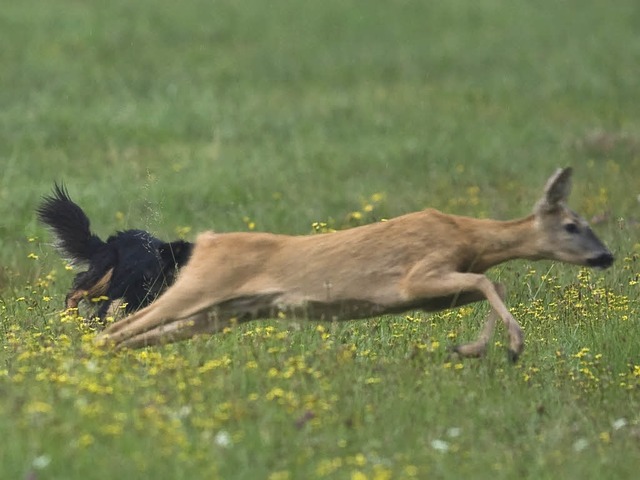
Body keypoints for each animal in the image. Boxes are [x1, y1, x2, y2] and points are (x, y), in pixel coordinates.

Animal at [96, 168, 616, 360]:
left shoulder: (436, 294)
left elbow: (489, 285)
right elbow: (492, 284)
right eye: (572, 225)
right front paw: (507, 346)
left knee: (137, 332)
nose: (606, 255)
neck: (468, 236)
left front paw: (475, 348)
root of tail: (204, 242)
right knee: (120, 324)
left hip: (223, 311)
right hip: (200, 287)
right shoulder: (416, 278)